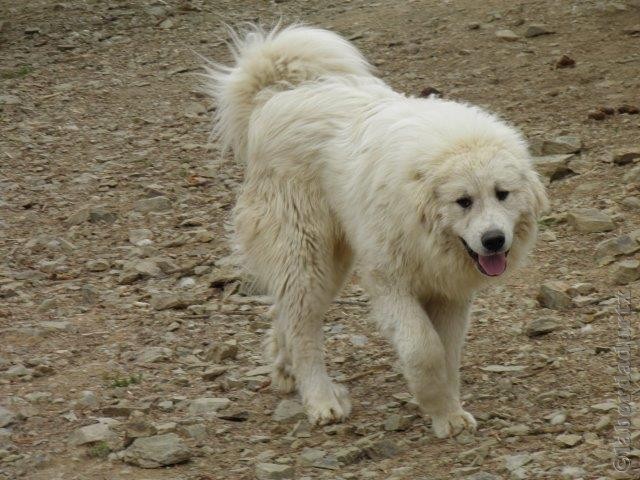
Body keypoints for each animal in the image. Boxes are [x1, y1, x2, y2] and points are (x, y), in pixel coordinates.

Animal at [206, 24, 552, 436]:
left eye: (502, 194)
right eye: (463, 201)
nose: (494, 240)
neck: (423, 225)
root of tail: (273, 97)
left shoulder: (450, 292)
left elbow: (448, 353)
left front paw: (449, 412)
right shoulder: (389, 281)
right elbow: (424, 348)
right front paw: (436, 405)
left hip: (331, 263)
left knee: (286, 312)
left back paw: (285, 368)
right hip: (307, 253)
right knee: (303, 326)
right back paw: (321, 401)